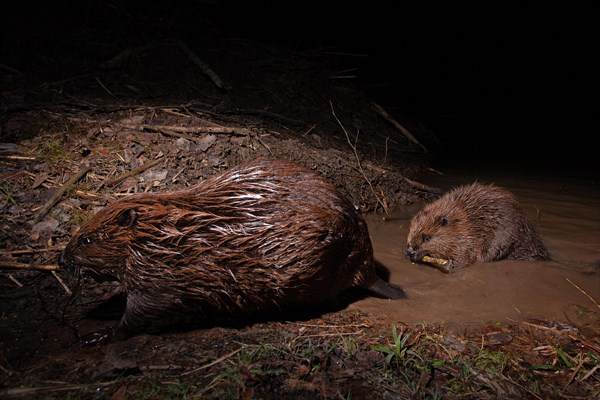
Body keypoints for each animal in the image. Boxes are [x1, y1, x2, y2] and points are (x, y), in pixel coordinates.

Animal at [58, 158, 406, 340]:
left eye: (86, 240)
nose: (62, 258)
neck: (161, 237)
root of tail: (369, 267)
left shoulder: (160, 278)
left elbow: (141, 311)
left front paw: (100, 335)